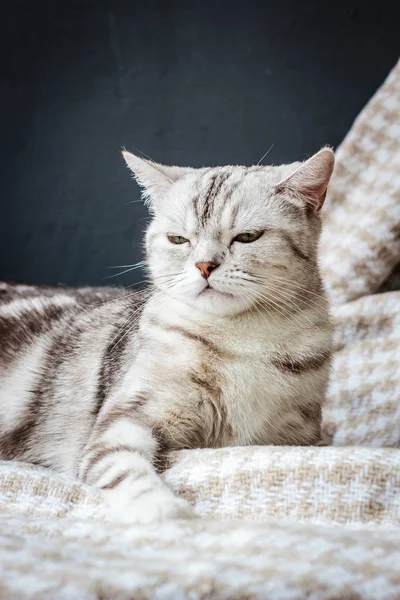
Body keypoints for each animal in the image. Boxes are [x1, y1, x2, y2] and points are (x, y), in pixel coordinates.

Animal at [0, 148, 334, 524]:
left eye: (247, 237)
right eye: (178, 239)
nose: (204, 266)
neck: (241, 338)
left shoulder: (297, 433)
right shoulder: (126, 417)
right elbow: (124, 468)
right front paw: (164, 511)